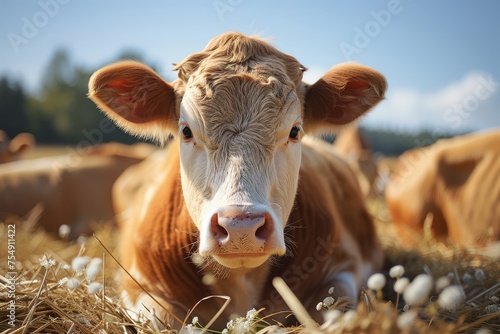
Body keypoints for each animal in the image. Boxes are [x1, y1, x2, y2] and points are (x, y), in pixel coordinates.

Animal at [89, 32, 386, 328]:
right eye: (186, 131)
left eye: (294, 131)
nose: (240, 227)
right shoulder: (138, 286)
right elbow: (159, 319)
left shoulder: (344, 268)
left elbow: (334, 308)